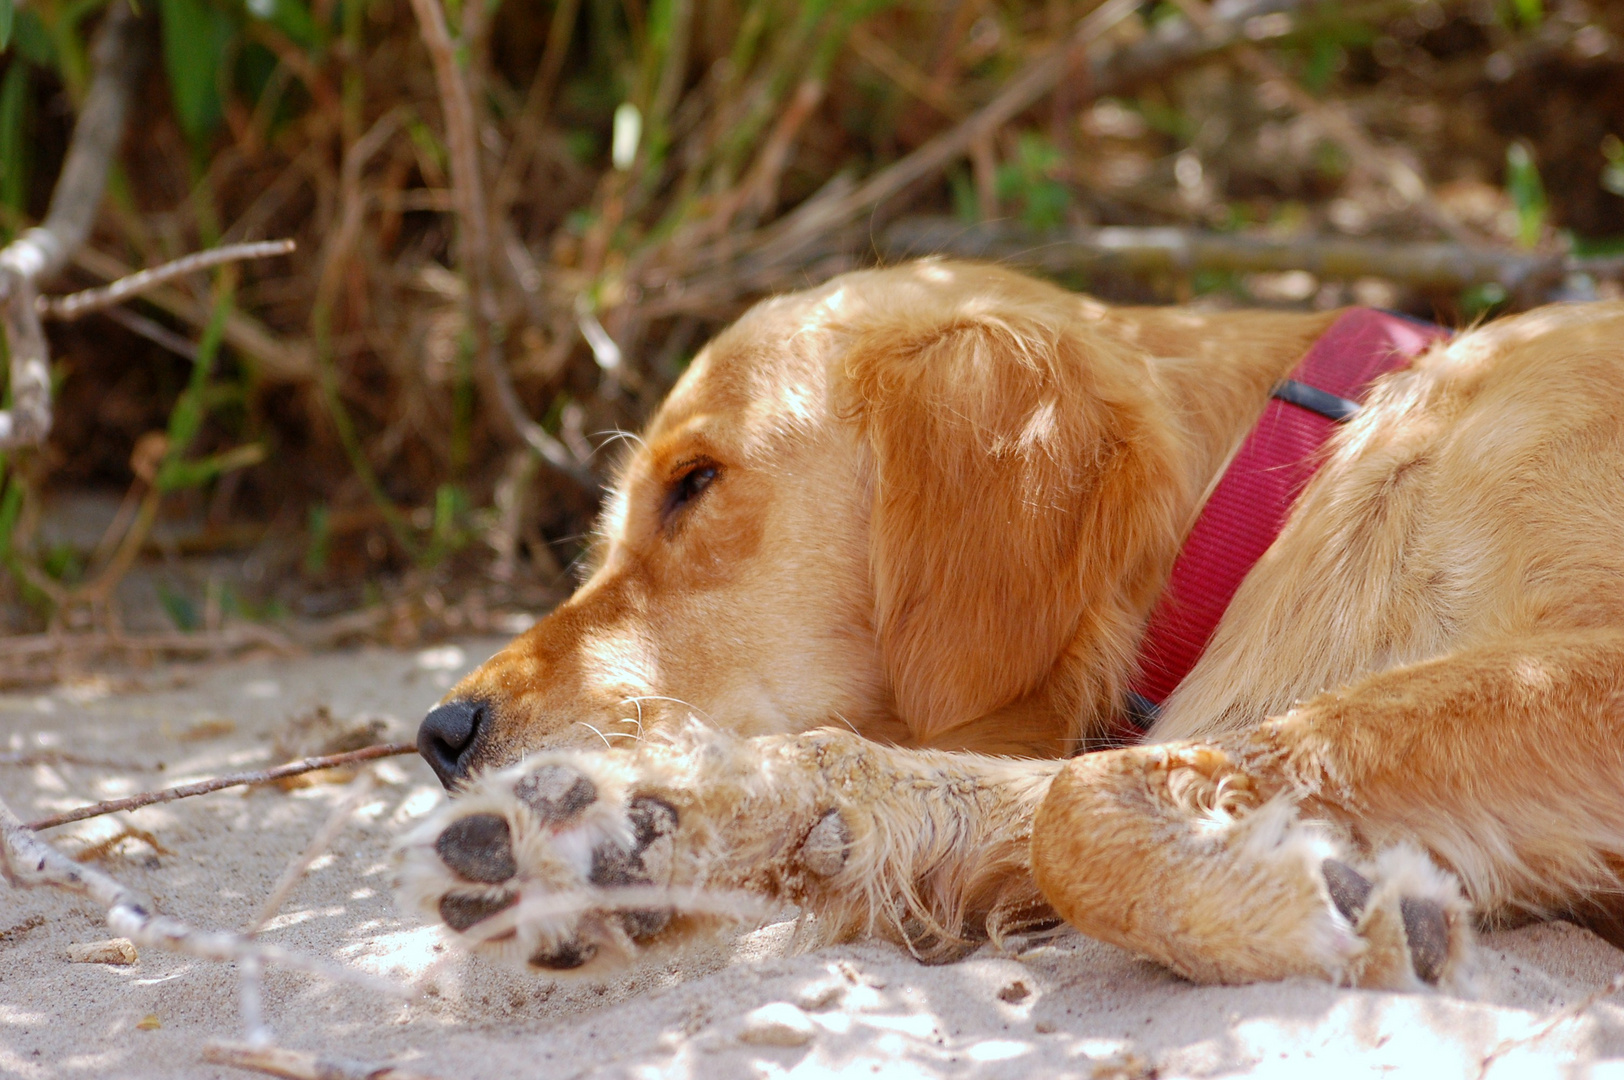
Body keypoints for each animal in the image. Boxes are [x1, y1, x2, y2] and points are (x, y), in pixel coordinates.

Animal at [399, 259, 1624, 987]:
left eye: (695, 484)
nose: (440, 736)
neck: (1281, 476)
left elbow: (1085, 804)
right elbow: (1041, 799)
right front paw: (652, 825)